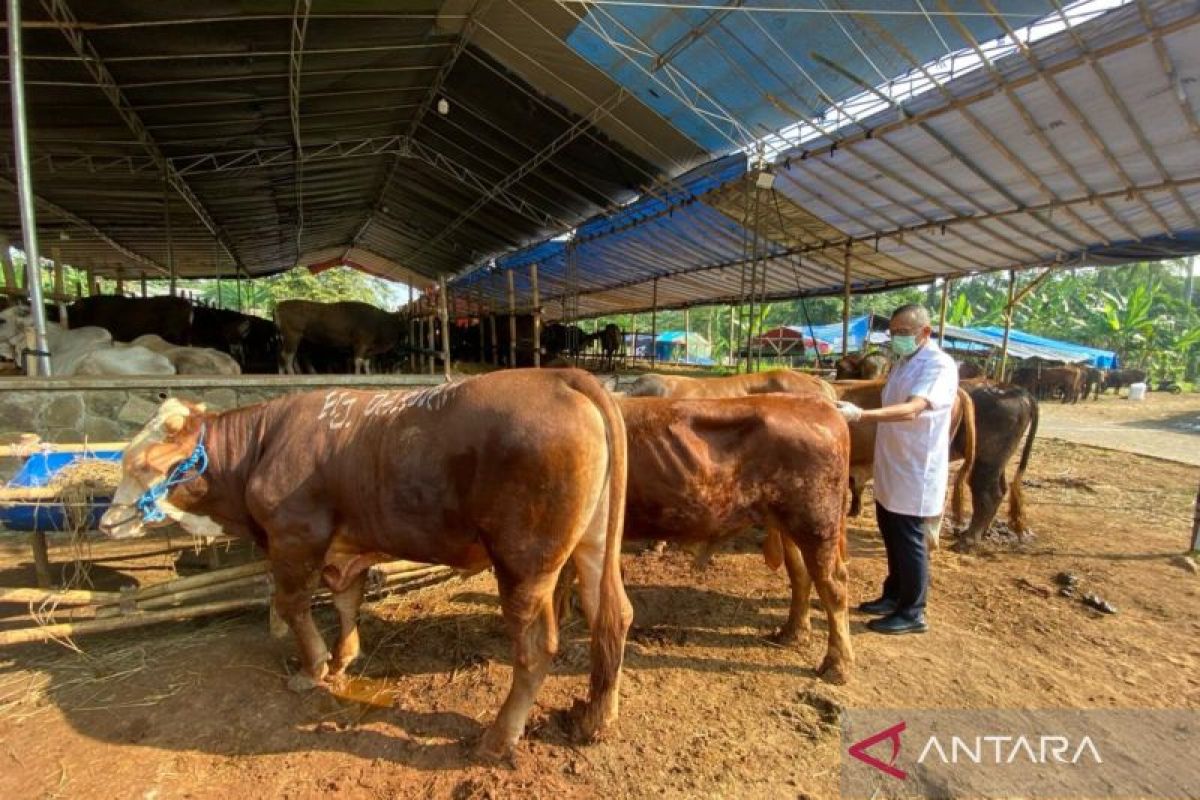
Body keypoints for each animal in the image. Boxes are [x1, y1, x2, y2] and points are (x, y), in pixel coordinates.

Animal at [98, 369, 633, 758]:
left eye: (142, 464)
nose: (106, 522)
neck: (261, 447)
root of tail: (560, 375)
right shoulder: (345, 548)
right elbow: (345, 601)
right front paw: (342, 657)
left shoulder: (294, 540)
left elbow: (293, 605)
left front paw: (312, 668)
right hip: (592, 542)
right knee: (612, 614)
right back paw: (595, 717)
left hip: (524, 563)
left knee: (536, 646)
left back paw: (498, 738)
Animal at [274, 299, 408, 376]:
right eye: (401, 320)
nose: (406, 331)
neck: (379, 321)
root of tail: (279, 305)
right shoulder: (361, 343)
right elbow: (358, 361)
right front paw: (357, 375)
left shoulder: (369, 349)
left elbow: (366, 363)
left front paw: (368, 374)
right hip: (292, 335)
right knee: (288, 355)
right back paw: (292, 374)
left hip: (286, 337)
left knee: (283, 354)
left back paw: (282, 374)